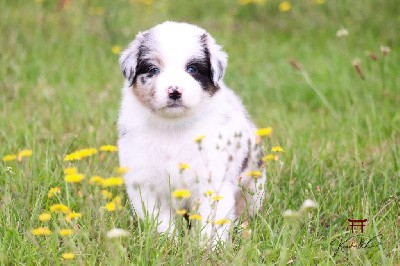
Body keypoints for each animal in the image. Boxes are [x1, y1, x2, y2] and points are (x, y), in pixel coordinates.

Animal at [116, 21, 266, 244]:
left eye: (192, 69)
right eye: (153, 69)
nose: (174, 91)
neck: (173, 127)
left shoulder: (212, 180)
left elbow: (211, 222)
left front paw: (209, 247)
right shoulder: (146, 184)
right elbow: (161, 221)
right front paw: (169, 244)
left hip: (254, 185)